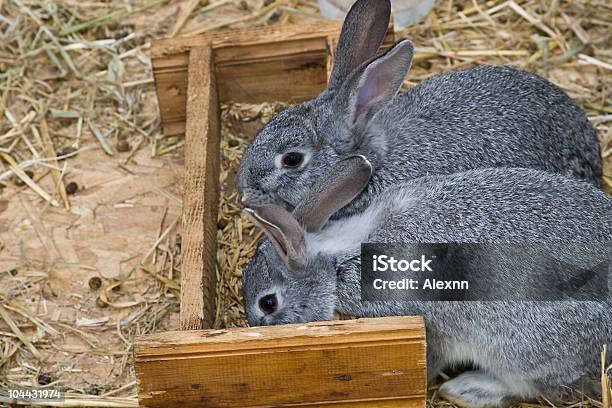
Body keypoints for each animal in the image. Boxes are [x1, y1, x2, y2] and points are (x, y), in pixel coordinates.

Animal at [243, 157, 612, 408]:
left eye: (268, 303)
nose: (256, 326)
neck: (337, 260)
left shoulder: (431, 330)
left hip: (519, 350)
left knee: (536, 387)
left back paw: (467, 390)